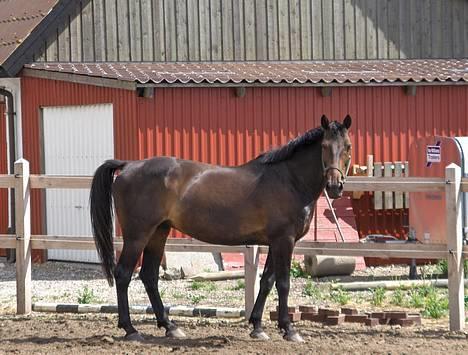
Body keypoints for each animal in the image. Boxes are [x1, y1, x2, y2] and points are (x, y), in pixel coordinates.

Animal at [90, 114, 352, 342]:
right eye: (324, 146)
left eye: (348, 147)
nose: (335, 186)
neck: (289, 180)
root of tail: (129, 165)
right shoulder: (284, 241)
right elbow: (283, 283)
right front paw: (289, 329)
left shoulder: (274, 242)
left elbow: (267, 282)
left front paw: (257, 327)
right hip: (137, 235)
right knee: (123, 274)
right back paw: (131, 329)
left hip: (158, 232)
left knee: (149, 276)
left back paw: (170, 326)